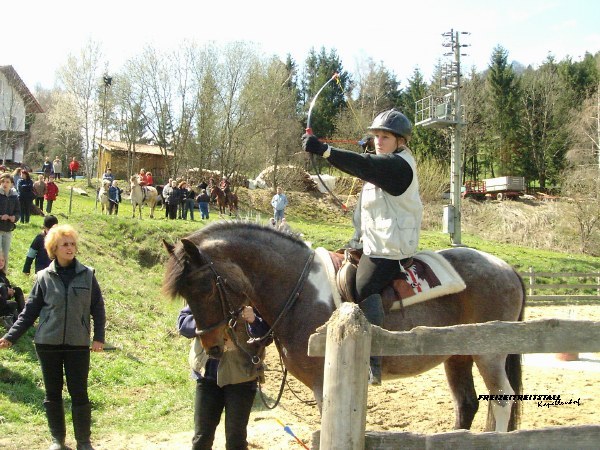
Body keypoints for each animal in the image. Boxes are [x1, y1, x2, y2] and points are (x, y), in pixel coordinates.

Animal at [163, 222, 524, 432]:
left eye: (204, 288)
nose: (211, 345)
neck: (300, 289)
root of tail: (507, 268)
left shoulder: (325, 383)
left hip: (489, 354)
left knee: (501, 401)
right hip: (457, 356)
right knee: (467, 404)